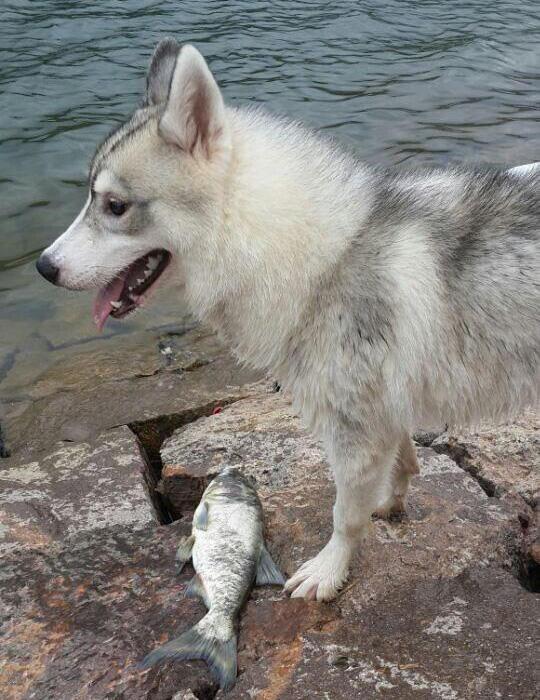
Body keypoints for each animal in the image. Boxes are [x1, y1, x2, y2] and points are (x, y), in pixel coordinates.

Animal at [35, 38, 536, 600]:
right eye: (90, 197)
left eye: (116, 206)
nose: (44, 267)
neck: (327, 255)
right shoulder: (379, 414)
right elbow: (403, 461)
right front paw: (391, 503)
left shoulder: (353, 430)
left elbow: (345, 516)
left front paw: (331, 570)